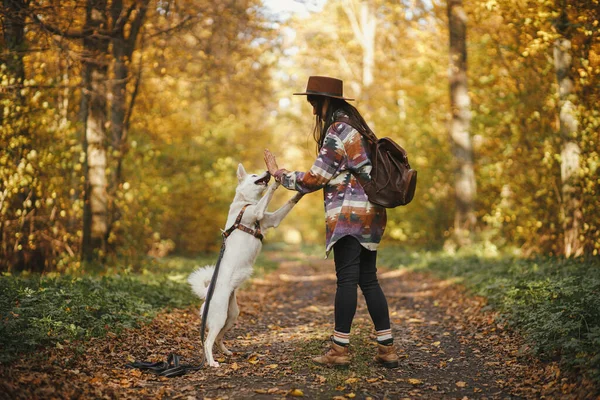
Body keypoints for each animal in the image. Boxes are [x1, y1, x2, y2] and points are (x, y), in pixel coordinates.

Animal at [188, 164, 300, 368]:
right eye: (255, 174)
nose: (267, 172)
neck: (245, 202)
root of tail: (207, 293)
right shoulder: (256, 212)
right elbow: (268, 195)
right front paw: (276, 182)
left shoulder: (271, 220)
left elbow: (288, 203)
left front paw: (299, 192)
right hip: (219, 317)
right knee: (207, 341)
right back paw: (212, 362)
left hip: (232, 315)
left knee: (218, 338)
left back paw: (226, 352)